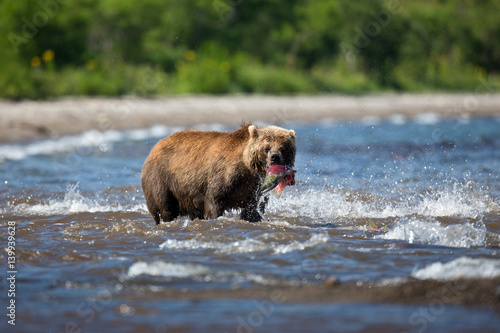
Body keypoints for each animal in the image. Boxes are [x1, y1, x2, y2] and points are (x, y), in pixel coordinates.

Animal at [141, 122, 294, 223]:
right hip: (162, 179)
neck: (248, 168)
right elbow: (214, 198)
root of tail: (154, 148)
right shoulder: (225, 174)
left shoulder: (253, 187)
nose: (274, 157)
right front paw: (215, 218)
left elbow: (251, 208)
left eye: (283, 147)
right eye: (266, 147)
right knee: (165, 206)